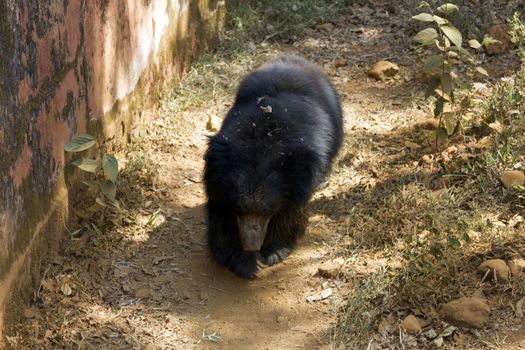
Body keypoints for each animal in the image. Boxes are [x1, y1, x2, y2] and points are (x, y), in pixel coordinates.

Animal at [203, 55, 342, 278]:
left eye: (266, 211)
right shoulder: (218, 171)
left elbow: (289, 211)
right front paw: (241, 260)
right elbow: (220, 212)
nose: (251, 245)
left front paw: (273, 252)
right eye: (239, 208)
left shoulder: (300, 176)